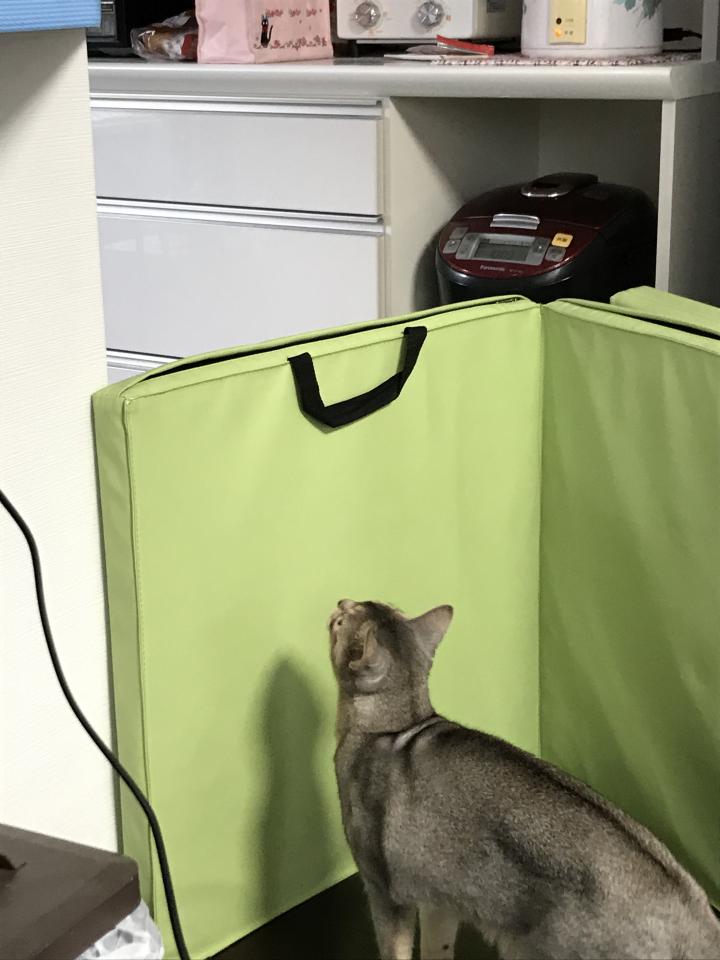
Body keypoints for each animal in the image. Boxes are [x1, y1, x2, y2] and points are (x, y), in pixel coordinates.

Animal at [329, 599, 720, 960]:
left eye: (340, 621)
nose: (340, 602)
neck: (397, 723)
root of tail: (689, 909)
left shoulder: (383, 891)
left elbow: (394, 950)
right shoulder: (439, 897)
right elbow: (436, 948)